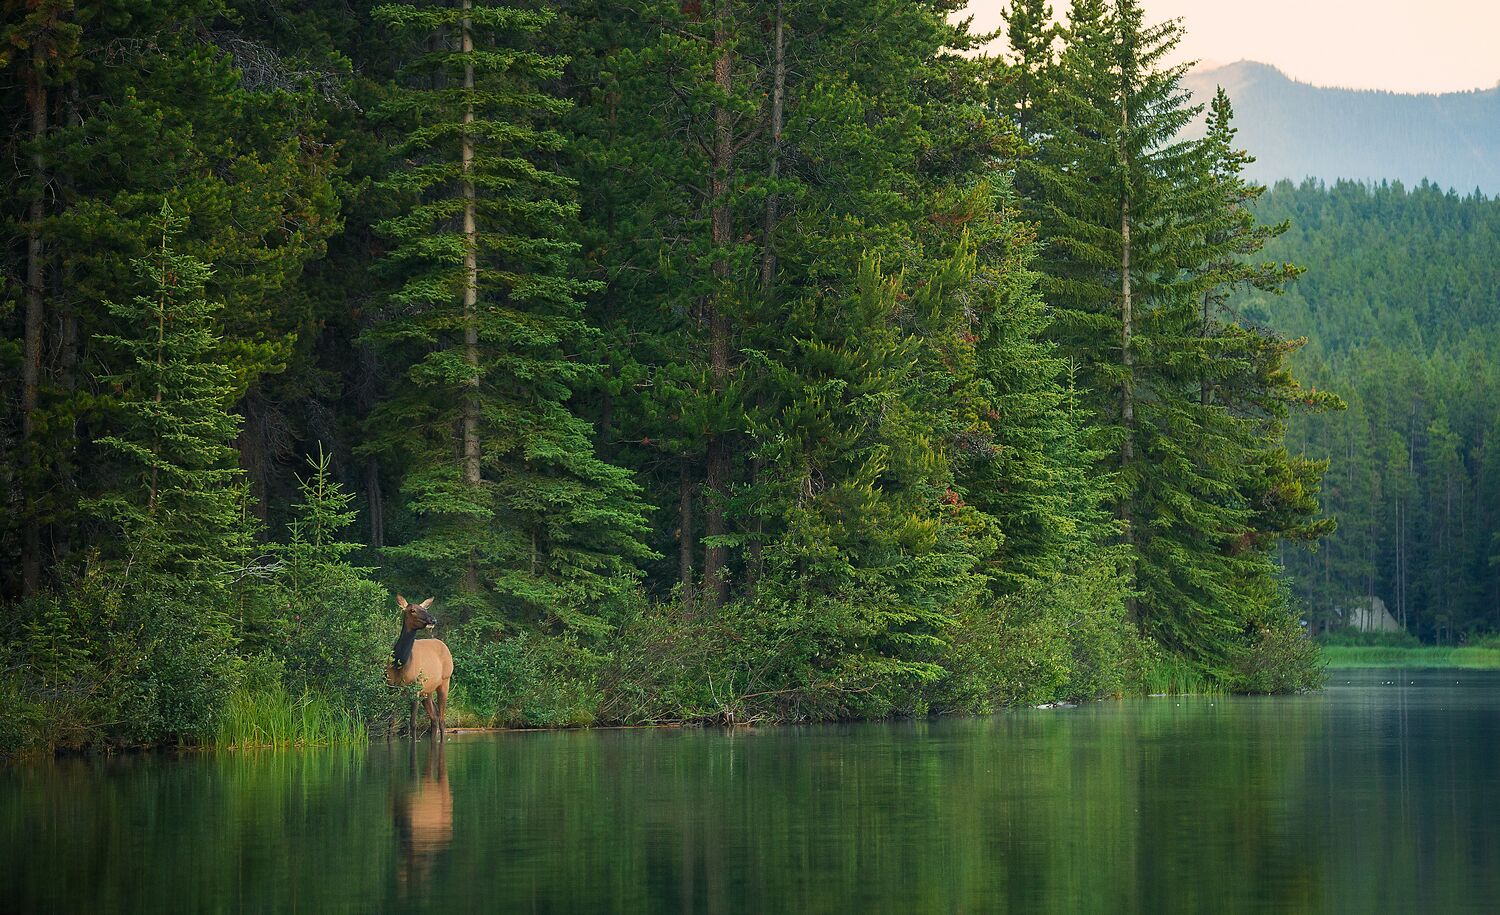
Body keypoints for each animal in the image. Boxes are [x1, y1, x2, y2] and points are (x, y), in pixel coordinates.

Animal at [387, 595, 454, 738]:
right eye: (412, 610)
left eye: (425, 608)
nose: (432, 620)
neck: (400, 663)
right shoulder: (392, 688)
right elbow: (391, 724)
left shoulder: (415, 688)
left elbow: (413, 724)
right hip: (428, 690)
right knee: (434, 718)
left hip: (445, 681)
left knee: (441, 720)